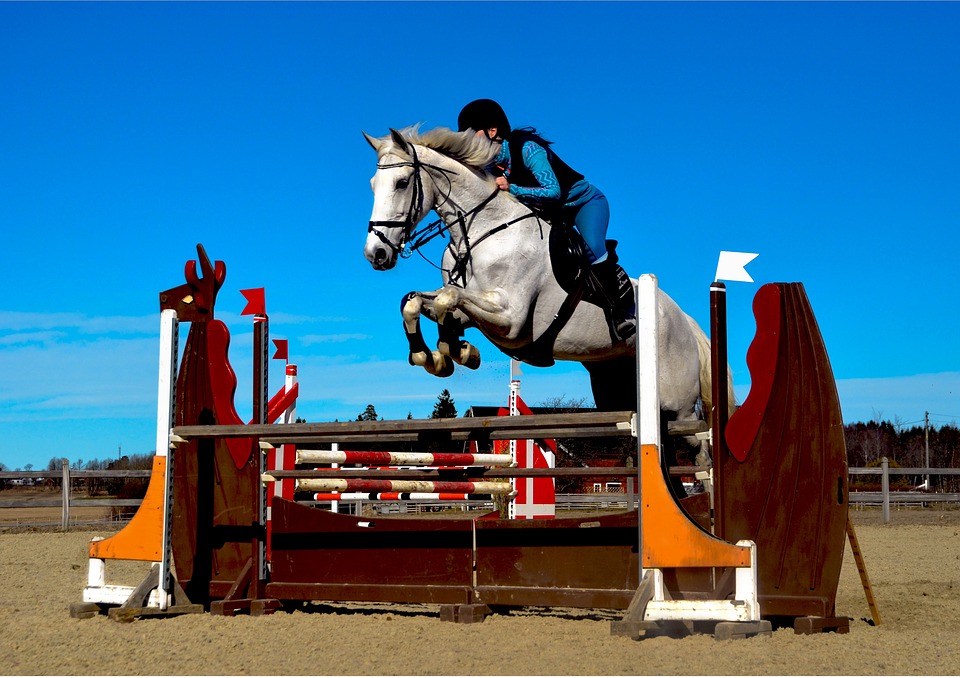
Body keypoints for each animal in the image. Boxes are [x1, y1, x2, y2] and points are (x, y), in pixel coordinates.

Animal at [364, 125, 724, 438]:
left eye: (402, 182)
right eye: (372, 184)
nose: (375, 253)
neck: (482, 230)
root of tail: (684, 319)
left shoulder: (510, 320)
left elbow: (446, 298)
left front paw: (455, 351)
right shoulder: (477, 310)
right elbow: (421, 302)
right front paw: (442, 355)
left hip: (677, 407)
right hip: (615, 387)